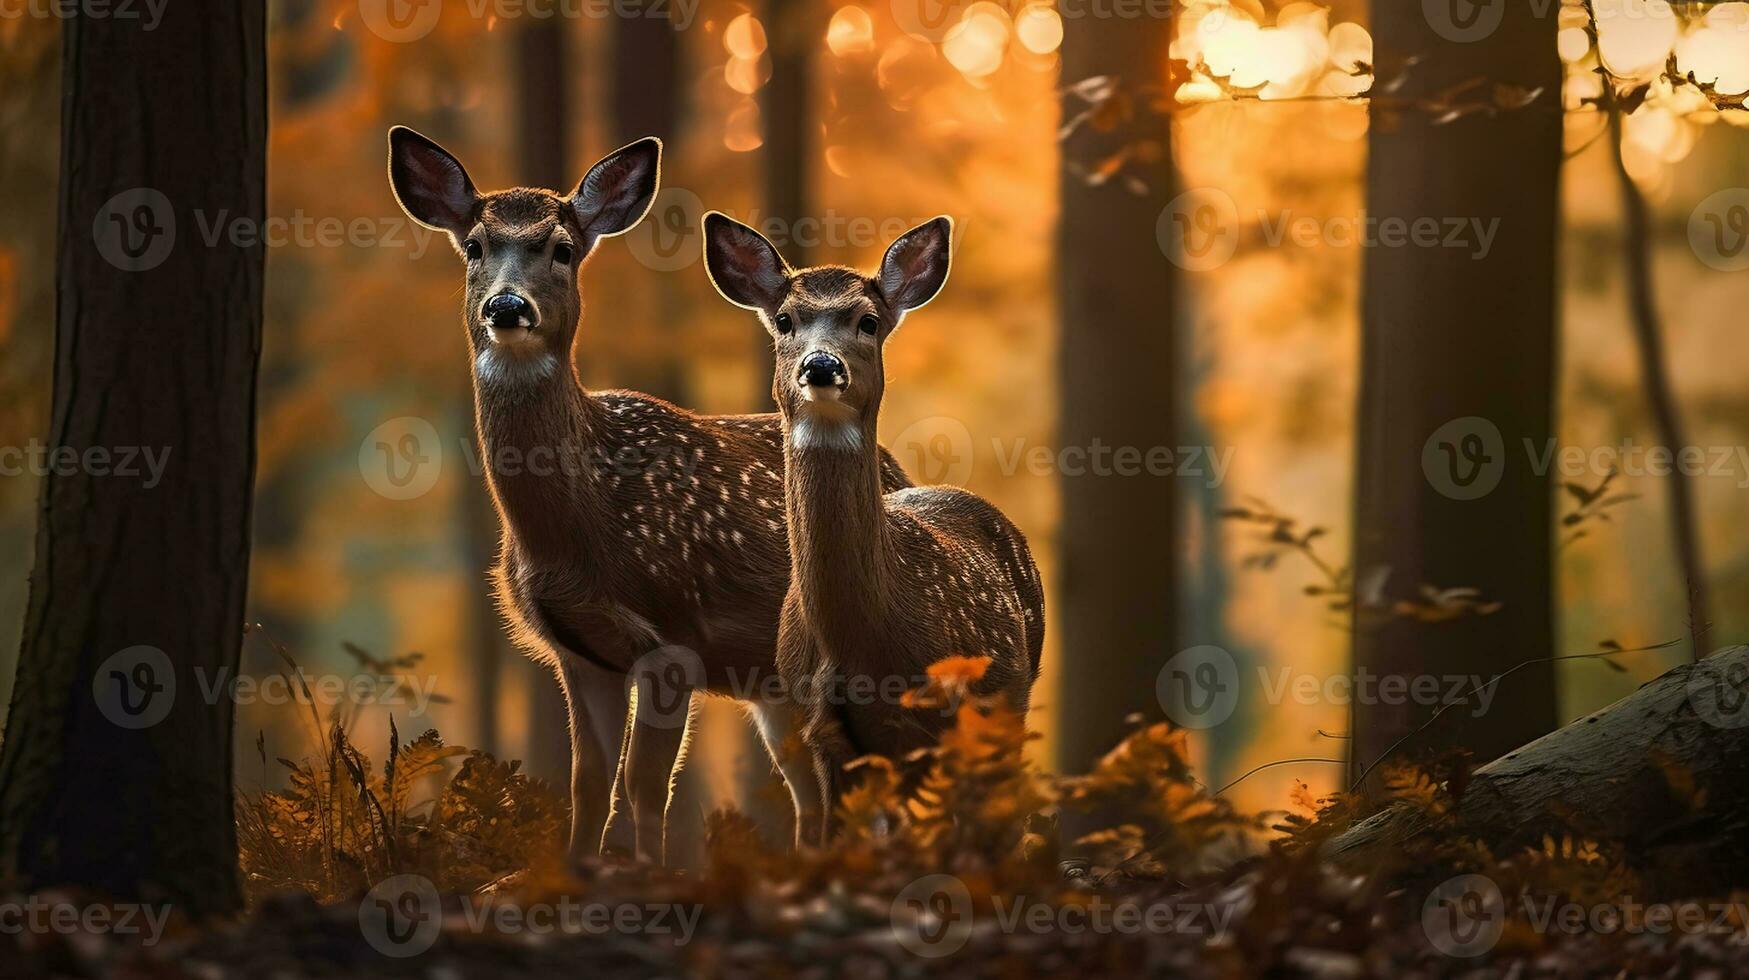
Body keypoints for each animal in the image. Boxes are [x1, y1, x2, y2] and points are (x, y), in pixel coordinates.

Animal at [386, 126, 916, 861]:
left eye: (562, 248)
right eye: (474, 246)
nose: (508, 306)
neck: (582, 525)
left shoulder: (674, 639)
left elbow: (643, 788)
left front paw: (652, 876)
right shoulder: (579, 654)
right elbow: (587, 785)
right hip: (773, 691)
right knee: (809, 796)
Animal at [703, 210, 1042, 840]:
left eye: (868, 321)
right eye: (785, 320)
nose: (821, 364)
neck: (861, 642)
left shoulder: (931, 726)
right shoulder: (824, 734)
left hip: (1009, 705)